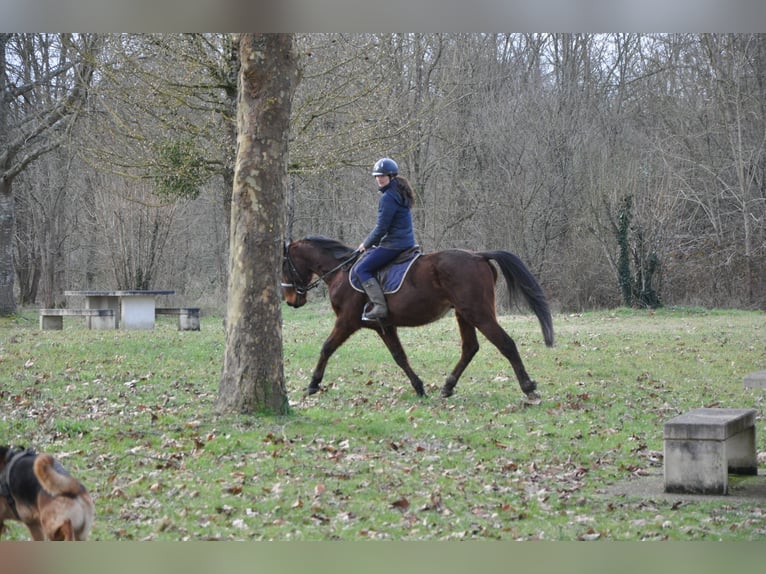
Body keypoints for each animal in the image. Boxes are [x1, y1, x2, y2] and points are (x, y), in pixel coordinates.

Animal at [280, 236, 552, 402]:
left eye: (284, 266)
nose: (291, 300)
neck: (341, 272)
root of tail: (479, 256)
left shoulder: (347, 321)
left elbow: (327, 347)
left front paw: (313, 384)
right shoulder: (384, 326)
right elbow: (399, 356)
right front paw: (419, 386)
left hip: (478, 312)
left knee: (506, 344)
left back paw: (528, 387)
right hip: (464, 313)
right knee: (470, 348)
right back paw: (448, 386)